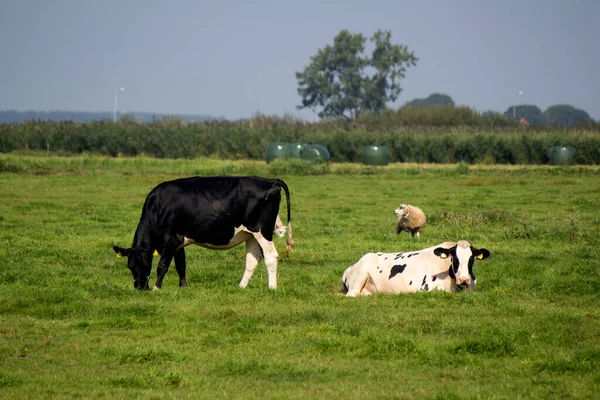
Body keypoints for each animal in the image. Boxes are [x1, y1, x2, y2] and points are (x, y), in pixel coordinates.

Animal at [112, 175, 292, 290]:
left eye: (142, 264)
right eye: (130, 266)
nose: (139, 287)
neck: (157, 206)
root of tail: (270, 181)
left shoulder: (171, 239)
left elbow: (162, 266)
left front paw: (157, 288)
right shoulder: (179, 241)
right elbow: (181, 265)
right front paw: (183, 287)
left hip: (262, 231)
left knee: (271, 257)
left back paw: (271, 288)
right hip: (251, 234)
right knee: (252, 259)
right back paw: (241, 287)